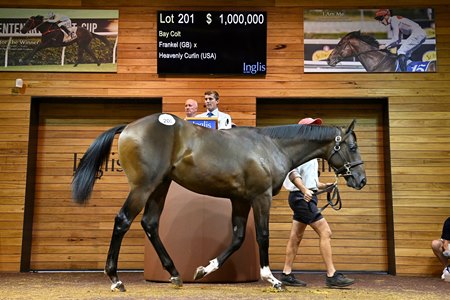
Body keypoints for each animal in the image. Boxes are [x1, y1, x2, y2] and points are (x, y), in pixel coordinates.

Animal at [72, 112, 368, 290]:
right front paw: (272, 279)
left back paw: (175, 274)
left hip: (161, 186)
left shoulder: (240, 200)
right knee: (123, 220)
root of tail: (130, 127)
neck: (270, 146)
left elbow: (237, 238)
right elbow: (262, 236)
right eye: (352, 147)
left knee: (150, 223)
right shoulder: (260, 198)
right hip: (144, 187)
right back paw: (115, 279)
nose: (361, 179)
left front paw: (205, 269)